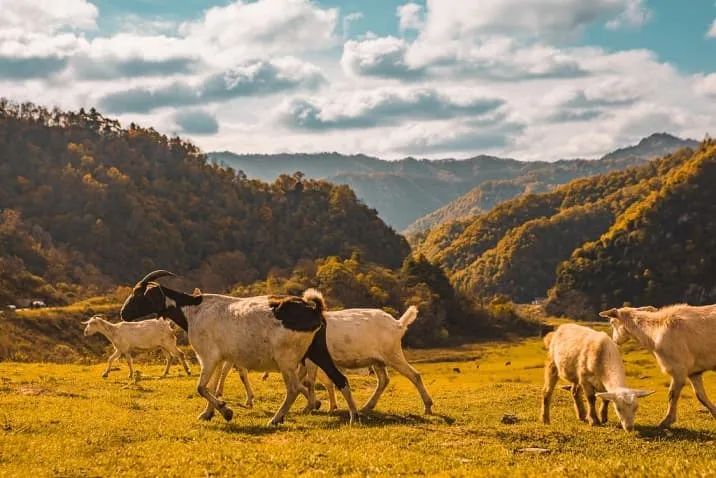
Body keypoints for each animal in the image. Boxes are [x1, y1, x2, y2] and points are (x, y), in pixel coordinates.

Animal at [121, 270, 364, 424]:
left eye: (138, 294)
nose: (123, 313)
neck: (192, 310)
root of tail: (314, 308)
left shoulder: (208, 356)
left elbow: (201, 387)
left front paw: (226, 411)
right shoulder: (218, 358)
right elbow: (212, 386)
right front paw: (208, 414)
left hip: (286, 358)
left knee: (294, 388)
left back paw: (276, 419)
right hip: (317, 350)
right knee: (340, 378)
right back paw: (354, 416)